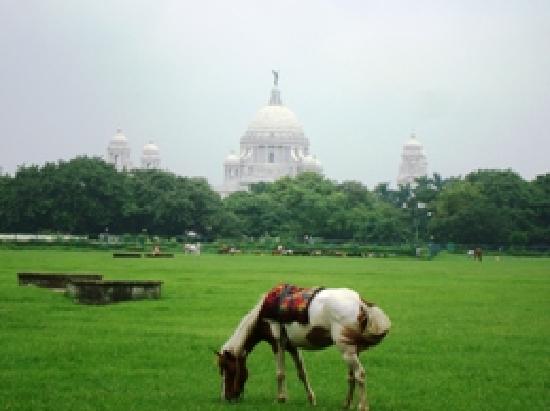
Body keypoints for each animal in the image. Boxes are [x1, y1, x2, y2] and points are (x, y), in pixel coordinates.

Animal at [216, 284, 392, 410]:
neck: (262, 316)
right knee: (352, 377)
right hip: (352, 349)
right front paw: (311, 399)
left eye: (228, 370)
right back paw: (346, 404)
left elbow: (280, 373)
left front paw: (281, 399)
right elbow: (302, 373)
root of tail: (361, 303)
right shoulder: (292, 347)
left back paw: (362, 406)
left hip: (346, 350)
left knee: (359, 374)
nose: (226, 398)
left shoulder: (277, 343)